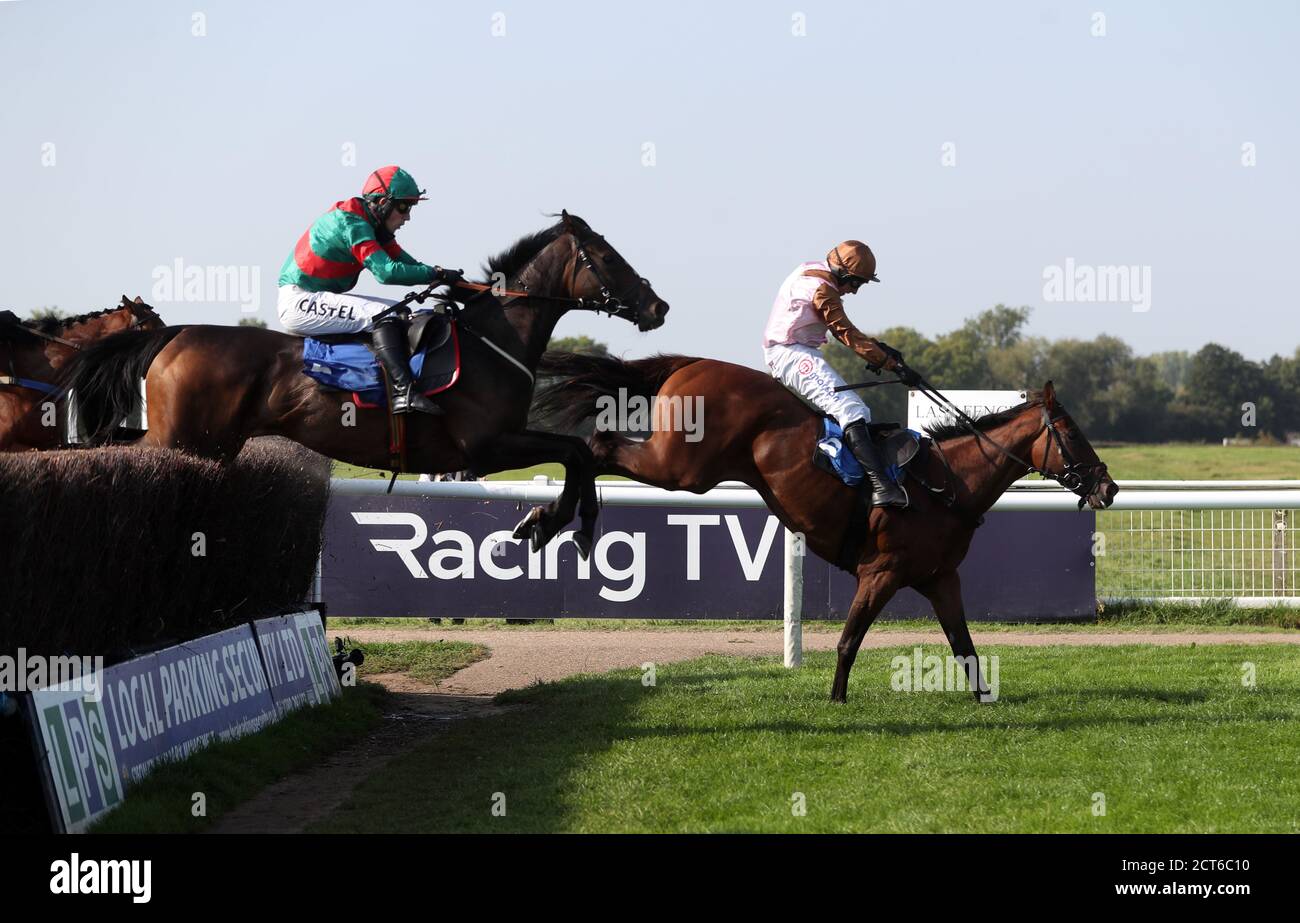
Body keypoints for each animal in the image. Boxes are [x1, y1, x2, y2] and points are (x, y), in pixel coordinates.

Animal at [58, 213, 670, 553]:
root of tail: (176, 334)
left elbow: (578, 454)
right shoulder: (486, 444)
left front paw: (565, 524)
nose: (657, 306)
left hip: (208, 443)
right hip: (184, 439)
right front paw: (552, 522)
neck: (492, 338)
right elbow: (575, 452)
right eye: (607, 256)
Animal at [533, 353, 1123, 702]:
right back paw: (558, 520)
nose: (1109, 488)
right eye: (1073, 434)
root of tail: (693, 363)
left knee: (598, 446)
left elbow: (964, 643)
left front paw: (984, 697)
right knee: (598, 444)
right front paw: (837, 699)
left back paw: (555, 521)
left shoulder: (939, 578)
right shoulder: (882, 571)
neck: (947, 483)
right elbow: (848, 640)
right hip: (682, 466)